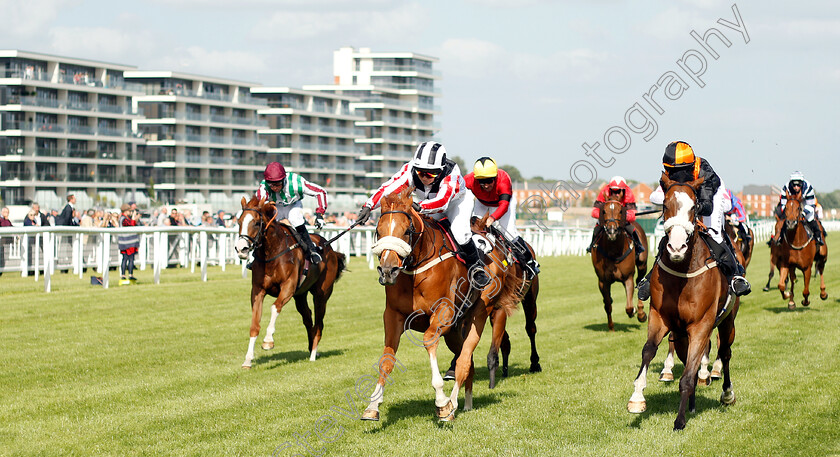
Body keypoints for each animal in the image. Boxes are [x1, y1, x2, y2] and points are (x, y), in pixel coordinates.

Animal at [233, 195, 344, 366]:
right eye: (239, 222)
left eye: (257, 223)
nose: (241, 249)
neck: (272, 253)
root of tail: (330, 249)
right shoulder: (258, 290)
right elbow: (254, 323)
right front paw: (248, 359)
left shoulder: (288, 287)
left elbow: (275, 307)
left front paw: (268, 341)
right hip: (300, 296)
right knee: (308, 318)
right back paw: (311, 347)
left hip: (322, 294)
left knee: (319, 322)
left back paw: (313, 353)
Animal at [362, 188, 520, 420]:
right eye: (378, 231)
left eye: (406, 231)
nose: (388, 270)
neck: (416, 269)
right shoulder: (393, 315)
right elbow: (387, 359)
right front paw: (373, 405)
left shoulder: (443, 313)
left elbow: (429, 341)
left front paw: (441, 401)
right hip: (453, 332)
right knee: (469, 363)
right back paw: (467, 403)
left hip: (479, 314)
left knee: (464, 361)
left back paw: (452, 405)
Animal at [592, 198, 648, 330]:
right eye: (604, 211)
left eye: (621, 211)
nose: (612, 230)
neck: (614, 252)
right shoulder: (603, 281)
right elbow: (608, 304)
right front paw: (611, 327)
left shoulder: (628, 277)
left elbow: (629, 307)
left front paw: (635, 311)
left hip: (642, 264)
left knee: (640, 281)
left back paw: (641, 314)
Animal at [628, 173, 740, 430]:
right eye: (665, 205)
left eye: (694, 207)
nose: (676, 247)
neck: (682, 273)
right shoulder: (660, 316)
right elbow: (648, 350)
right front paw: (637, 398)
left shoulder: (701, 325)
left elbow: (689, 374)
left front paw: (679, 420)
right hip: (680, 335)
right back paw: (692, 403)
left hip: (727, 321)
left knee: (725, 352)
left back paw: (726, 393)